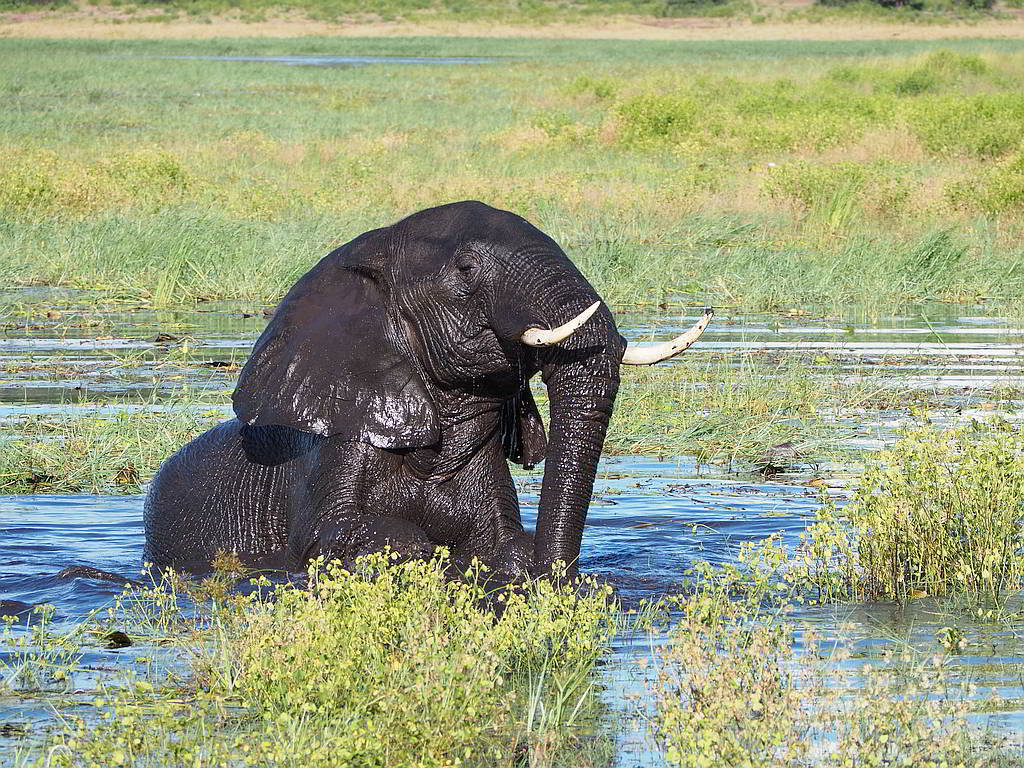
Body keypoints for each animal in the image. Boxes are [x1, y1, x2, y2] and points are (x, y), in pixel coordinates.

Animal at [146, 201, 712, 581]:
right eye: (465, 270)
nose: (555, 580)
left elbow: (501, 544)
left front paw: (513, 562)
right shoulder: (337, 449)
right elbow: (335, 542)